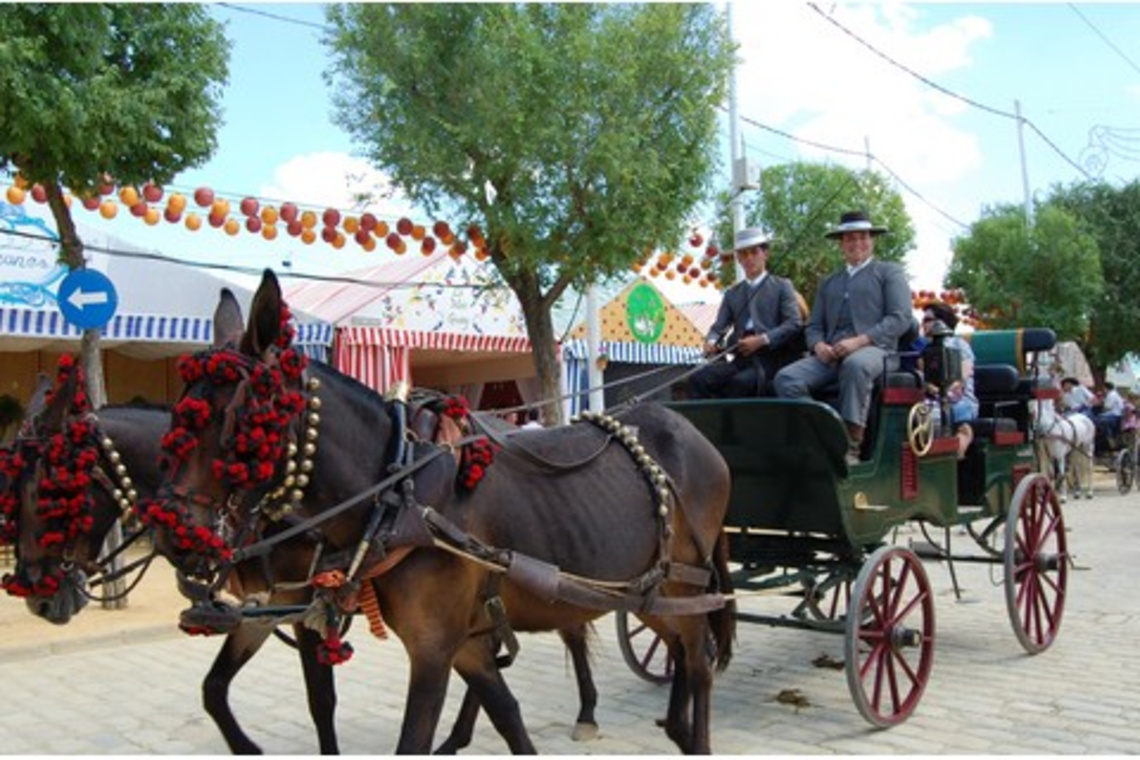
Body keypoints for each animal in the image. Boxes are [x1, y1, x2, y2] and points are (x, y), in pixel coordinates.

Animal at [147, 268, 734, 756]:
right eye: (177, 416)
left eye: (238, 419)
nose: (174, 535)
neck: (400, 495)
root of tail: (693, 433)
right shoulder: (465, 645)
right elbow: (510, 719)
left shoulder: (431, 649)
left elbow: (407, 737)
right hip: (642, 593)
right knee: (675, 646)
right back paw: (676, 728)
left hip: (684, 581)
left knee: (700, 658)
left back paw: (695, 735)